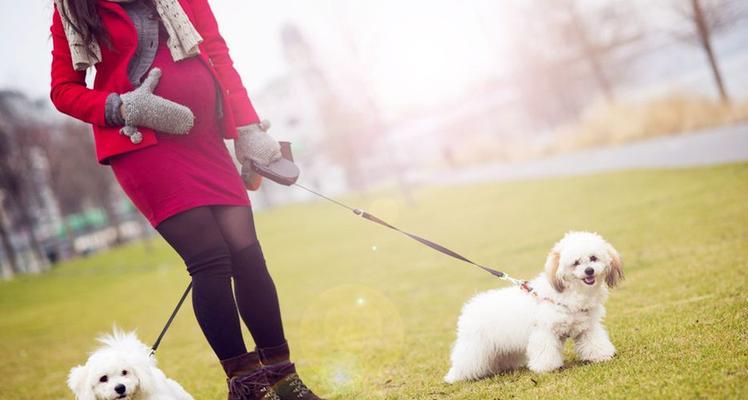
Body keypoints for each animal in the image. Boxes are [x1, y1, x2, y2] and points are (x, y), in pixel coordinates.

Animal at [444, 233, 624, 382]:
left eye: (593, 258)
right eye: (576, 263)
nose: (589, 271)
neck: (570, 294)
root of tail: (472, 305)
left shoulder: (587, 328)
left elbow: (595, 342)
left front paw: (602, 356)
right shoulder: (544, 331)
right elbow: (546, 351)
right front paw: (547, 368)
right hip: (474, 347)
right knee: (465, 361)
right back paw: (455, 377)